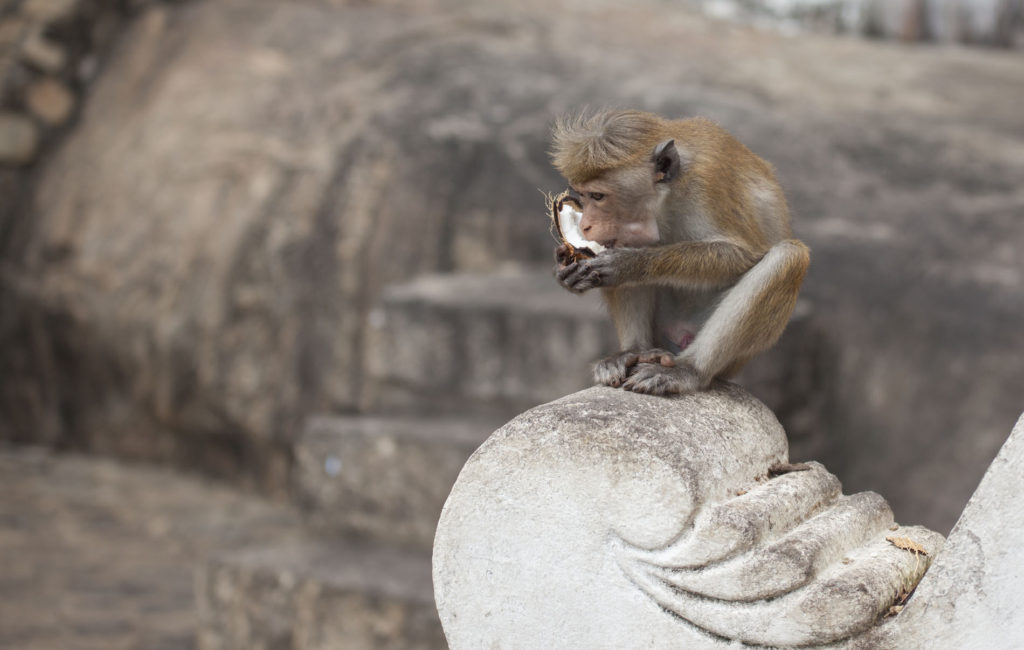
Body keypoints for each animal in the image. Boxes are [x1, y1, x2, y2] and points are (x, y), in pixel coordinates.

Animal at [552, 110, 806, 397]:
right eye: (582, 195)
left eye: (597, 196)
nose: (585, 225)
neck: (667, 196)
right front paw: (566, 269)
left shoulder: (708, 183)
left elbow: (741, 255)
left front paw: (629, 264)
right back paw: (633, 351)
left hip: (731, 356)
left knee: (789, 257)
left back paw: (688, 370)